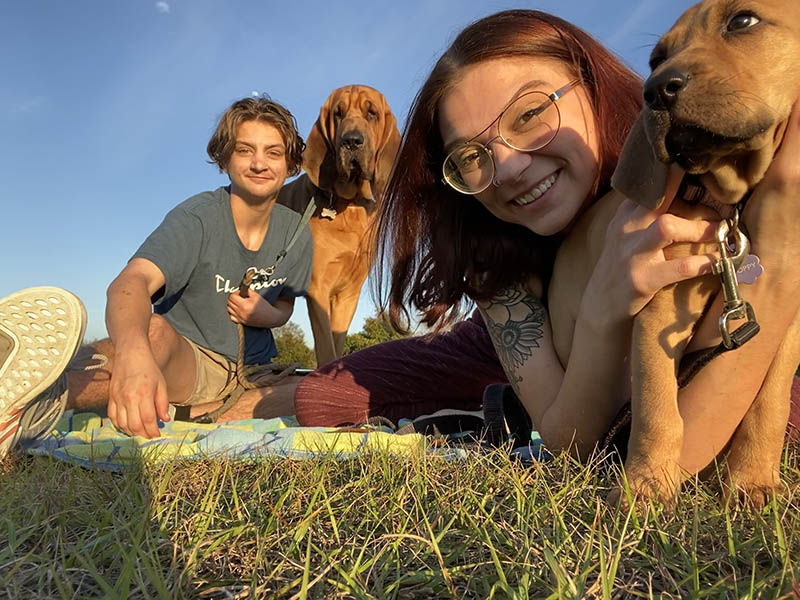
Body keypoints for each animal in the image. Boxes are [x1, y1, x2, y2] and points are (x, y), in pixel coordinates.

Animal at [278, 84, 400, 366]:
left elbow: (338, 338)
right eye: (338, 113)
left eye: (371, 113)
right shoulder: (318, 288)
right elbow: (326, 345)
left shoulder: (348, 293)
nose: (352, 141)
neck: (349, 205)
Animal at [548, 0, 800, 508]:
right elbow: (657, 404)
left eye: (743, 21)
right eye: (655, 59)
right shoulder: (660, 305)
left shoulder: (788, 317)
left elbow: (770, 402)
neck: (730, 205)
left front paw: (753, 481)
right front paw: (646, 485)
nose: (656, 91)